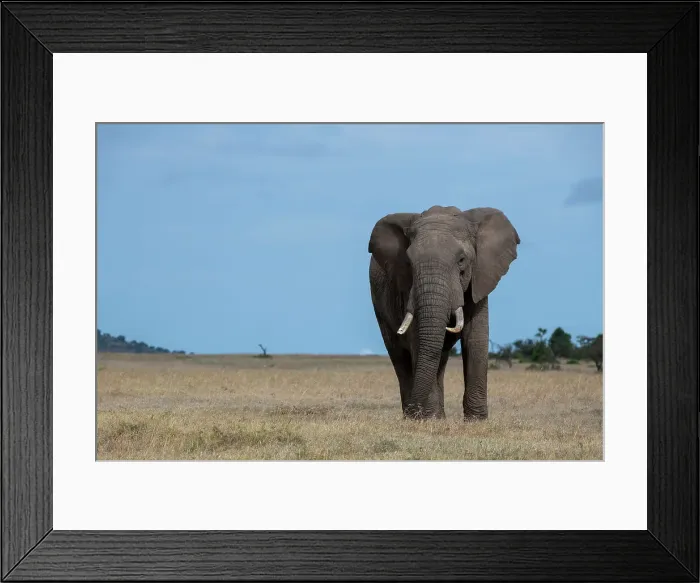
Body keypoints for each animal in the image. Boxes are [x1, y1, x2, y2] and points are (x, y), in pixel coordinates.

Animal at [368, 205, 520, 421]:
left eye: (462, 260)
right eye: (408, 263)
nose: (415, 412)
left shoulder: (481, 278)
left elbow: (476, 339)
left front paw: (476, 421)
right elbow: (418, 340)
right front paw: (429, 419)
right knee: (399, 356)